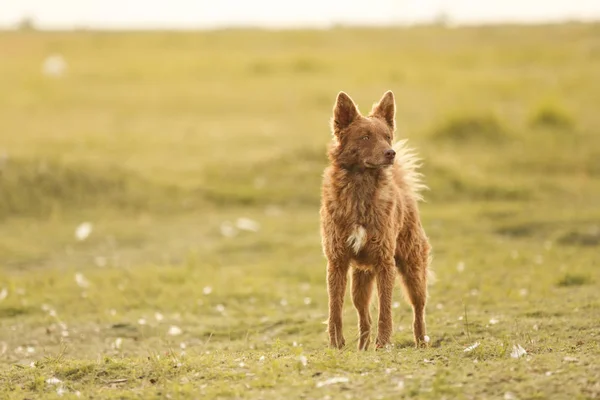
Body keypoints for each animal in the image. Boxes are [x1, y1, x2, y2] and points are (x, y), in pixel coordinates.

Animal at [318, 90, 432, 350]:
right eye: (365, 137)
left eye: (387, 137)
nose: (391, 153)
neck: (360, 189)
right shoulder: (337, 262)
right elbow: (335, 309)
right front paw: (336, 345)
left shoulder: (384, 262)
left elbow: (385, 311)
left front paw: (383, 345)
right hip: (359, 283)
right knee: (364, 317)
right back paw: (361, 350)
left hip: (413, 271)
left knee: (418, 310)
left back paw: (421, 343)